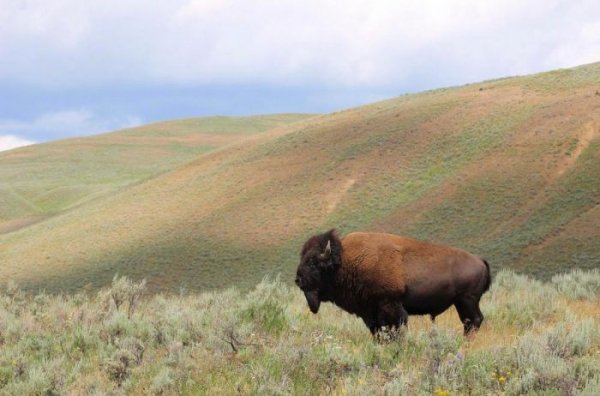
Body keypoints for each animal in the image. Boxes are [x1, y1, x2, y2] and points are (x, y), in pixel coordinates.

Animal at [296, 230, 492, 336]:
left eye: (313, 262)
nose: (298, 279)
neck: (345, 261)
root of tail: (480, 260)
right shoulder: (370, 314)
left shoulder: (390, 306)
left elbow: (395, 330)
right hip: (462, 303)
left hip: (467, 301)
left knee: (473, 321)